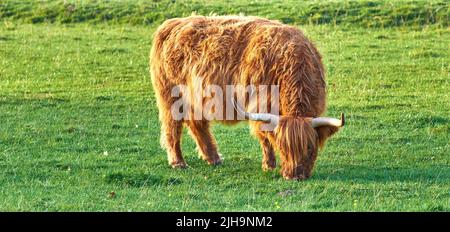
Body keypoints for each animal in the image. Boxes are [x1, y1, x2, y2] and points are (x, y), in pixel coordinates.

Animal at [150, 15, 344, 180]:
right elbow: (264, 137)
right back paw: (178, 162)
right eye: (282, 147)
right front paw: (269, 165)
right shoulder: (261, 105)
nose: (293, 176)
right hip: (170, 97)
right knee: (172, 128)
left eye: (310, 148)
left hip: (196, 99)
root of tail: (171, 24)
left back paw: (213, 158)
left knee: (196, 123)